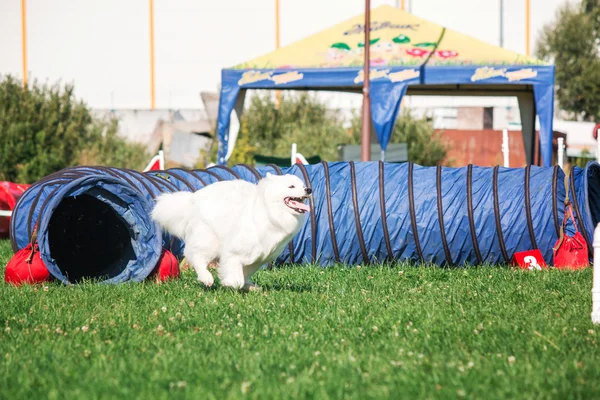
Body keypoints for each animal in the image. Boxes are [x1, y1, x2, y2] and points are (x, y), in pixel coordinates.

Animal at [150, 172, 312, 290]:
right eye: (291, 186)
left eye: (302, 185)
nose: (309, 189)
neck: (269, 212)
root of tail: (192, 200)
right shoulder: (234, 252)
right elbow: (236, 277)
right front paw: (229, 283)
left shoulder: (260, 257)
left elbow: (246, 273)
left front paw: (249, 286)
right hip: (208, 240)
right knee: (195, 256)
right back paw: (206, 278)